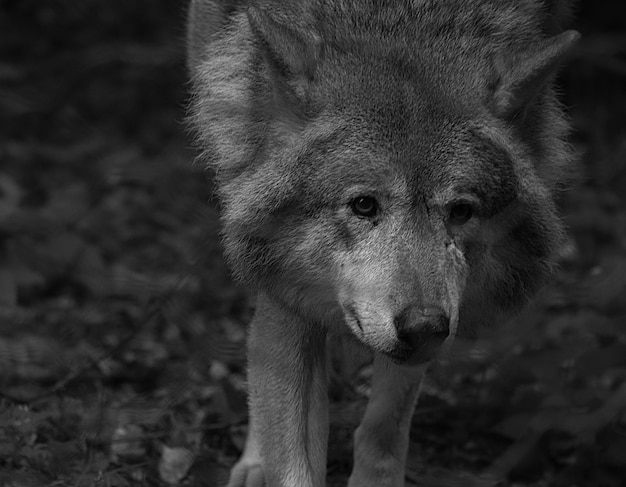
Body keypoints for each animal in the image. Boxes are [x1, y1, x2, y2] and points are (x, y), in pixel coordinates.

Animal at [184, 1, 576, 486]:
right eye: (364, 205)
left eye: (461, 211)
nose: (424, 325)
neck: (399, 20)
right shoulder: (285, 291)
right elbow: (291, 451)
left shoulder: (432, 327)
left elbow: (382, 433)